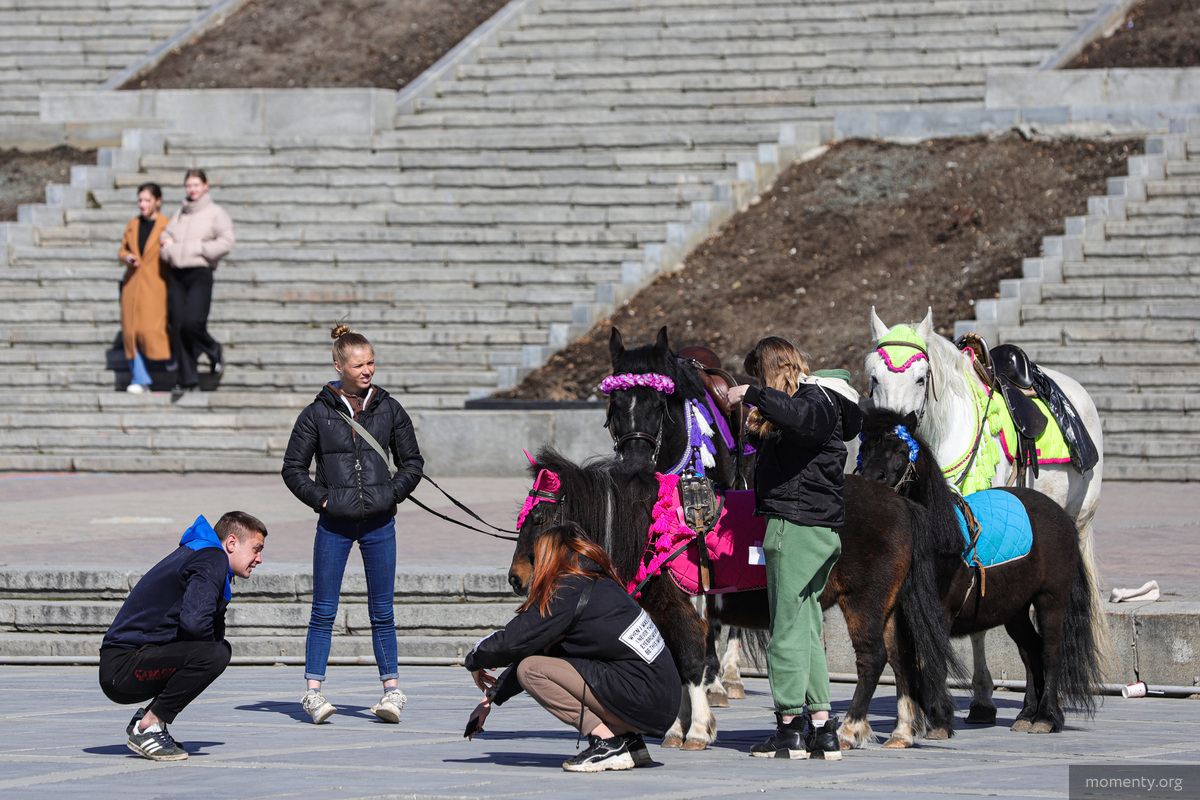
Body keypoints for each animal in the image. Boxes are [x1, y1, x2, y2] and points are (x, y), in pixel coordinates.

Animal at [506, 443, 945, 753]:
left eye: (539, 518)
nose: (515, 578)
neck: (655, 527)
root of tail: (902, 502)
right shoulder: (666, 616)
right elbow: (679, 667)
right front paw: (677, 728)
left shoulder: (681, 612)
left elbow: (690, 665)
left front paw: (698, 730)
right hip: (889, 607)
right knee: (902, 659)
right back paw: (902, 732)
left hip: (865, 601)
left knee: (873, 659)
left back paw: (852, 729)